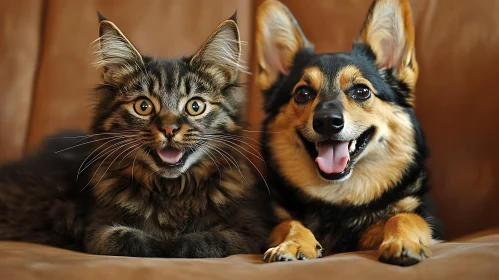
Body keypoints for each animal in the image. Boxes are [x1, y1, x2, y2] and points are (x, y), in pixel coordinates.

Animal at [0, 12, 274, 258]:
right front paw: (163, 247)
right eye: (143, 106)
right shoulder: (100, 230)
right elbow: (133, 240)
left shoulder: (249, 231)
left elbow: (203, 241)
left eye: (195, 106)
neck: (172, 191)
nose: (169, 129)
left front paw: (174, 247)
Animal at [256, 0, 444, 266]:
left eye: (362, 91)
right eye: (302, 94)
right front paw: (293, 243)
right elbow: (289, 223)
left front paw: (402, 242)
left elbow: (403, 216)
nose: (327, 122)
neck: (339, 196)